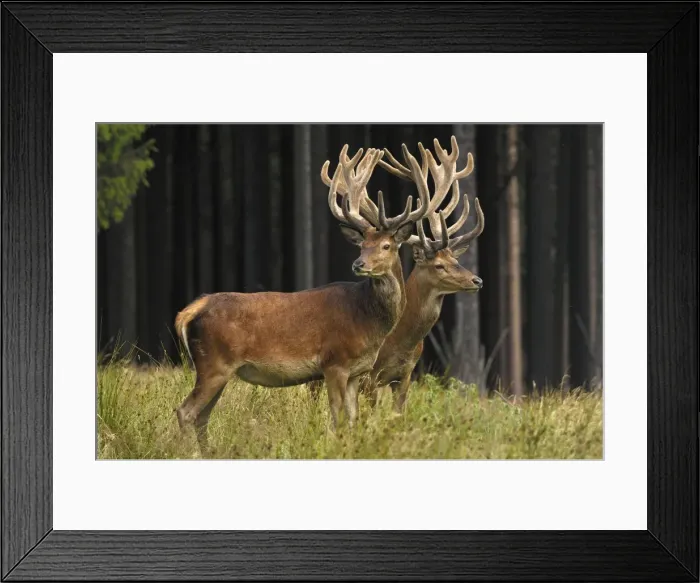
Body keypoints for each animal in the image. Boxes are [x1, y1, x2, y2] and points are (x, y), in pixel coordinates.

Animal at [174, 144, 430, 453]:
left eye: (386, 245)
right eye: (362, 245)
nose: (359, 264)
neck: (367, 320)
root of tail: (190, 311)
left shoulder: (357, 372)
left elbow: (353, 419)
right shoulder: (334, 362)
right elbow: (336, 417)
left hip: (217, 369)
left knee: (202, 416)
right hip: (213, 363)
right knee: (186, 411)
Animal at [315, 136, 485, 411]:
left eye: (454, 259)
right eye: (438, 265)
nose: (477, 280)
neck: (401, 342)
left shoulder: (405, 376)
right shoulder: (369, 376)